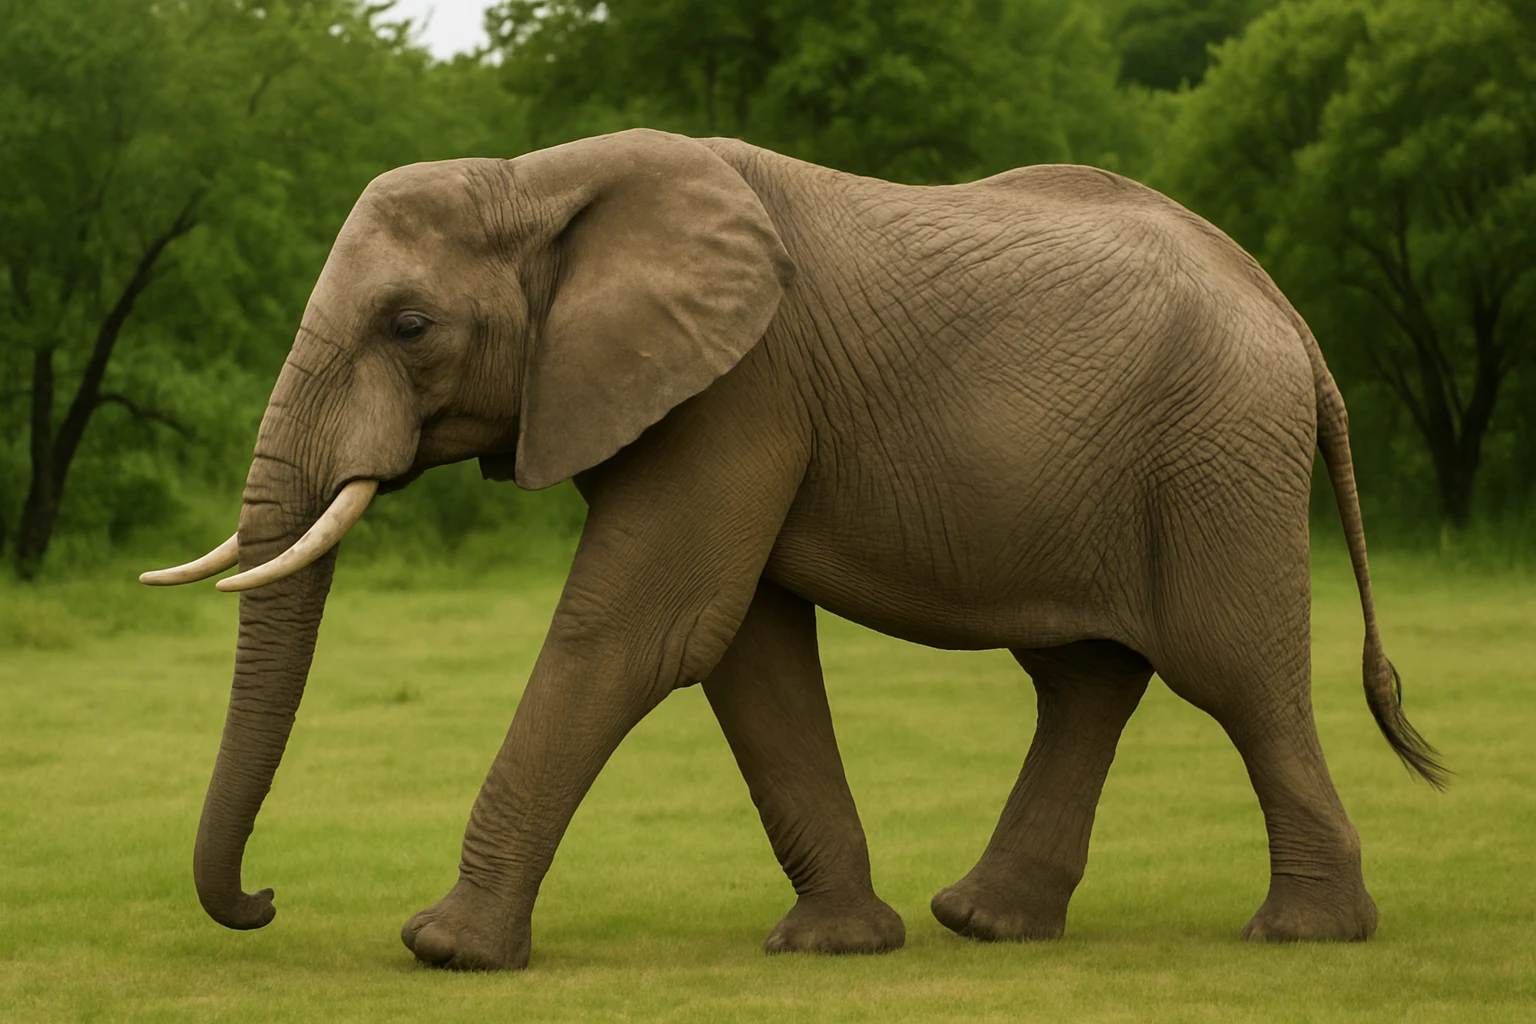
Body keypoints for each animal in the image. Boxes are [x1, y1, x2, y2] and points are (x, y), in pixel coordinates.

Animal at [142, 128, 1446, 971]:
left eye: (410, 325)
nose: (265, 899)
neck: (539, 179)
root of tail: (1289, 317)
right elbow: (744, 655)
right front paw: (837, 946)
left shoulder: (739, 391)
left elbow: (642, 631)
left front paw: (443, 948)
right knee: (1086, 678)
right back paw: (983, 923)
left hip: (1219, 454)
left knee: (1234, 677)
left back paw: (1304, 934)